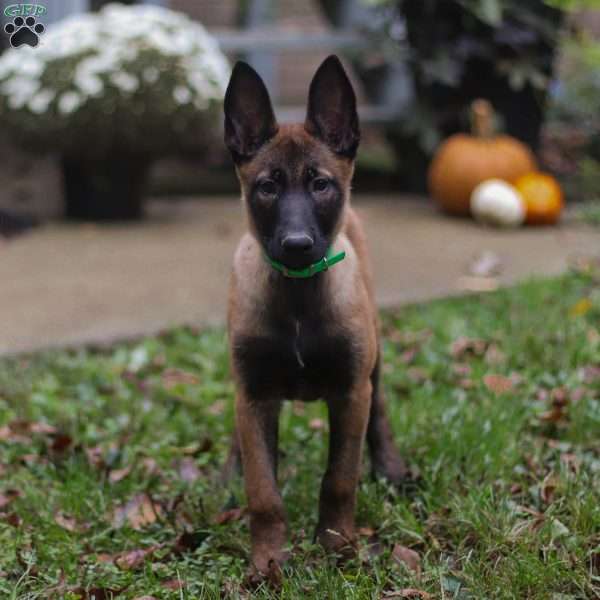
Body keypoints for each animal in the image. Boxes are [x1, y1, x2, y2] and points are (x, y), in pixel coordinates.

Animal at [225, 57, 408, 576]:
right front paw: (267, 561)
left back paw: (391, 469)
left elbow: (339, 479)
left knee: (380, 410)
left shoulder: (350, 390)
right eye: (267, 187)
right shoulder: (255, 393)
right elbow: (263, 491)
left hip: (374, 360)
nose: (297, 245)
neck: (299, 298)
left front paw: (336, 546)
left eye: (320, 184)